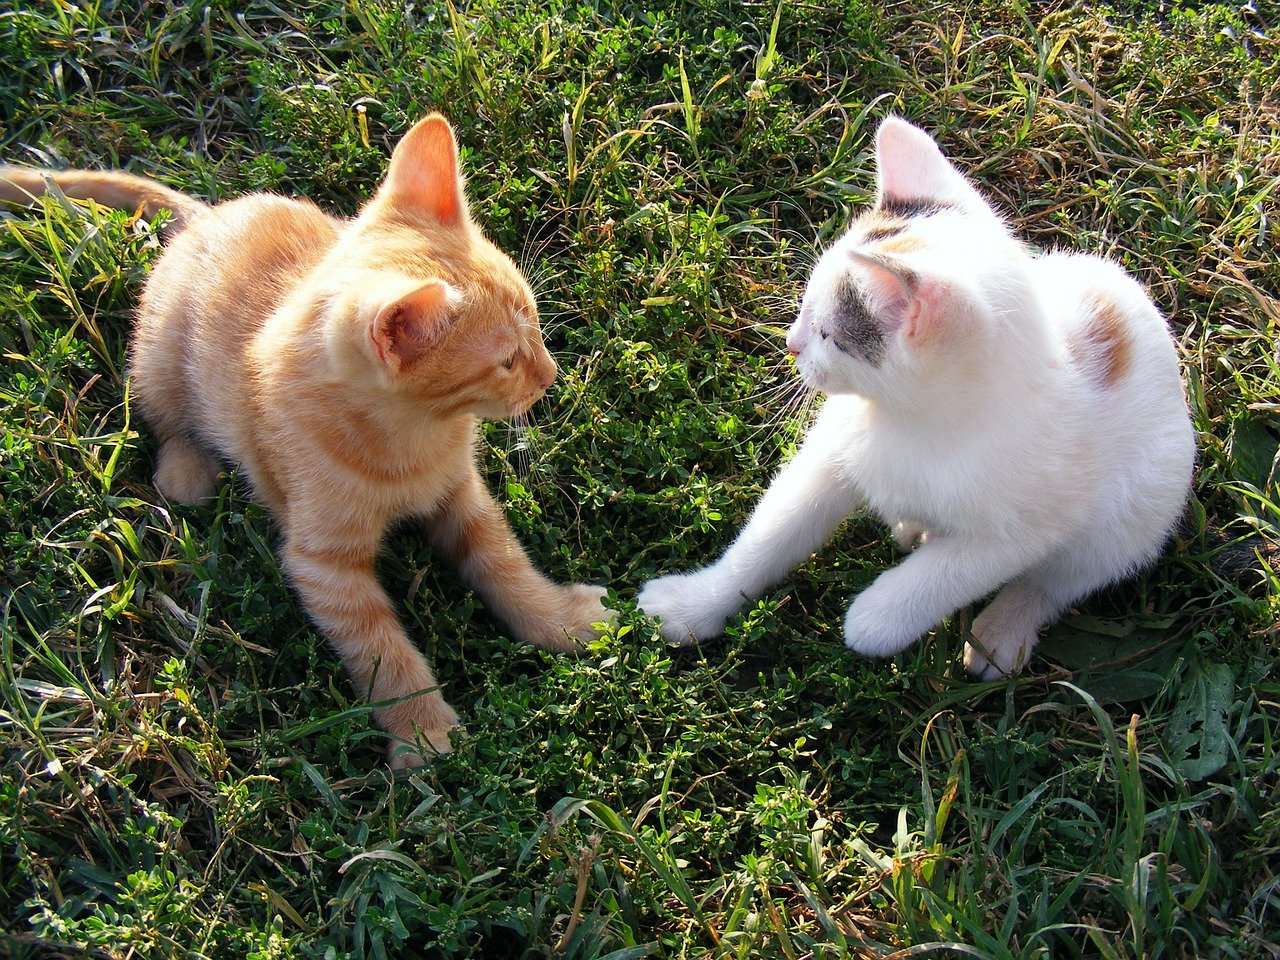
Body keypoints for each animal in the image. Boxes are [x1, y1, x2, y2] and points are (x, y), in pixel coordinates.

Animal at [3, 116, 614, 773]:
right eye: (505, 362)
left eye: (534, 318)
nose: (550, 375)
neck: (415, 435)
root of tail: (209, 215)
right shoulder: (322, 565)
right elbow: (378, 644)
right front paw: (420, 727)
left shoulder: (464, 496)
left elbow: (504, 562)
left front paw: (558, 619)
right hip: (159, 350)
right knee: (163, 410)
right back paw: (186, 470)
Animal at [645, 116, 1192, 680]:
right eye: (805, 311)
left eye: (830, 335)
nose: (792, 344)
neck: (913, 423)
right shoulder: (833, 452)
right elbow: (770, 535)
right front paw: (696, 604)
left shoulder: (1025, 529)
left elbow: (948, 574)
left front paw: (875, 618)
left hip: (1141, 511)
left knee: (1058, 580)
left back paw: (1003, 627)